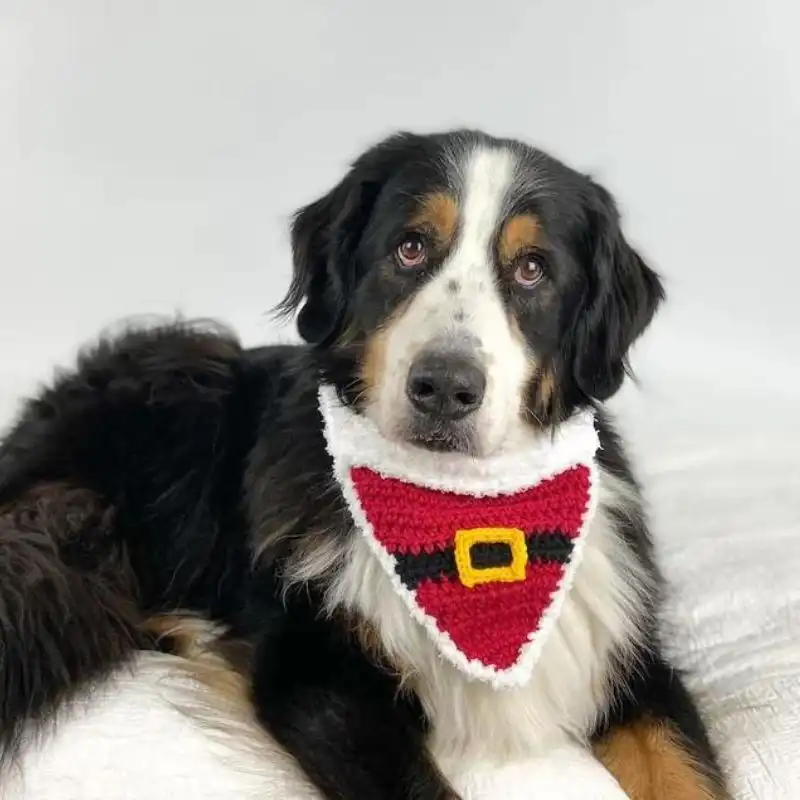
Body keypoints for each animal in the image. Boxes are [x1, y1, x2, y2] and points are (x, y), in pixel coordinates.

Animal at [0, 128, 728, 796]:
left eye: (532, 269)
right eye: (410, 248)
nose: (445, 387)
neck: (463, 506)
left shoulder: (629, 659)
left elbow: (686, 771)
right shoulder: (320, 673)